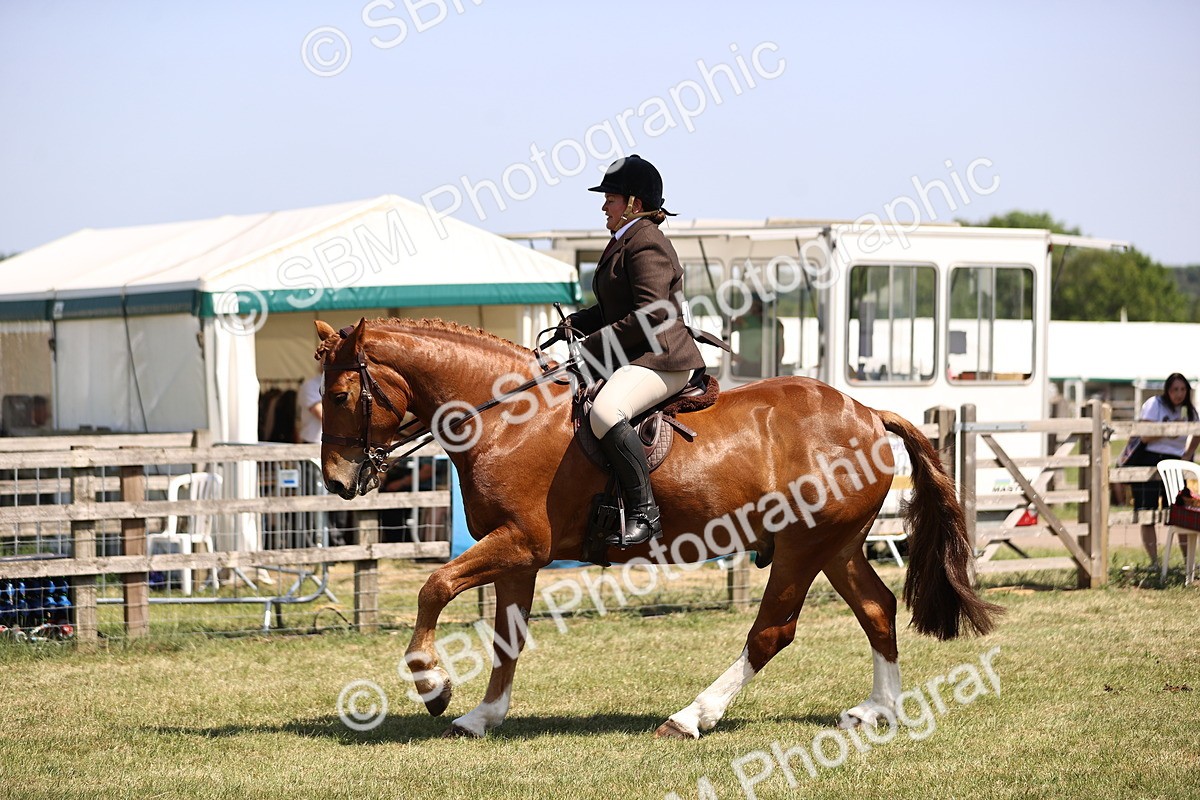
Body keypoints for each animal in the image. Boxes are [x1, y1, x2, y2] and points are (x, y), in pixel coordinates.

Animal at [315, 317, 999, 739]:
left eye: (343, 396)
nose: (338, 482)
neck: (507, 417)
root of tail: (867, 412)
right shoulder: (520, 555)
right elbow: (507, 637)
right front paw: (484, 716)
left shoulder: (518, 543)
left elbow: (433, 587)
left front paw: (433, 686)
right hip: (837, 544)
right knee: (878, 609)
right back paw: (877, 710)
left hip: (803, 546)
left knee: (771, 632)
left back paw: (692, 716)